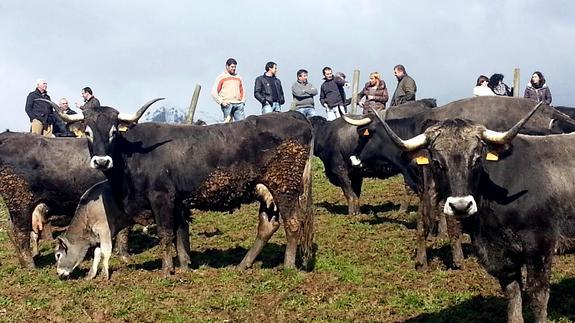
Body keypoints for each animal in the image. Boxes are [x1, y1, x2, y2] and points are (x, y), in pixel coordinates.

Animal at [47, 99, 318, 276]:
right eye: (88, 132)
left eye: (113, 131)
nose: (101, 161)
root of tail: (295, 116)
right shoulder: (177, 202)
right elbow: (180, 234)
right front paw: (186, 266)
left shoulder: (161, 197)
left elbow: (166, 234)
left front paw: (167, 270)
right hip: (265, 191)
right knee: (268, 226)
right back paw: (244, 264)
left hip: (285, 187)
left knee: (293, 222)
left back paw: (288, 266)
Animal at [336, 96, 575, 270]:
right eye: (436, 160)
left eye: (365, 136)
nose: (353, 158)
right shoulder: (429, 185)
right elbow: (424, 219)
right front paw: (422, 260)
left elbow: (449, 220)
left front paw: (457, 258)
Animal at [376, 102, 575, 323]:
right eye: (436, 162)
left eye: (477, 159)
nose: (461, 206)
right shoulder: (499, 255)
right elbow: (513, 295)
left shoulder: (540, 245)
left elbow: (538, 295)